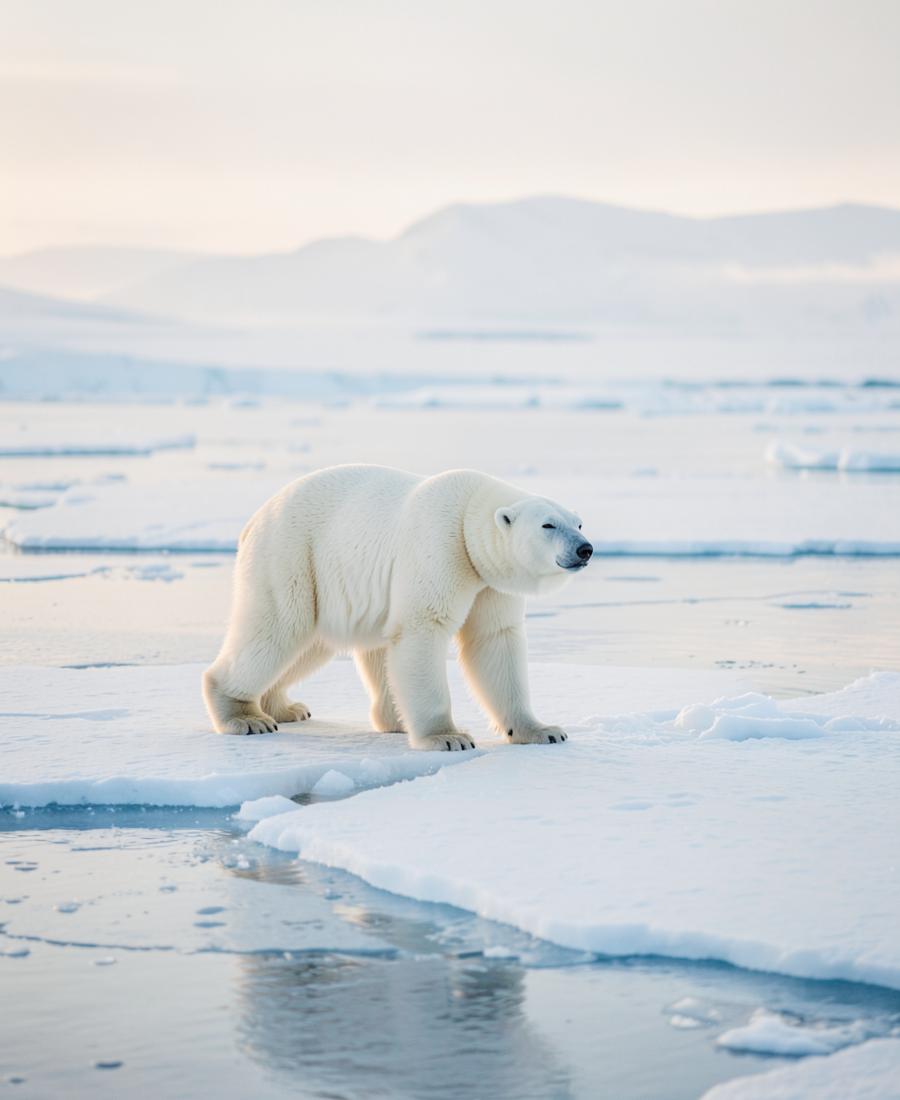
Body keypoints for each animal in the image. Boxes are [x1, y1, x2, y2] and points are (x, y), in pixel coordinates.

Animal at [202, 465, 593, 751]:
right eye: (547, 525)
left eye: (578, 523)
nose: (585, 548)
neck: (467, 518)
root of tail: (253, 521)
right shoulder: (441, 549)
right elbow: (423, 631)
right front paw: (447, 737)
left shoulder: (489, 584)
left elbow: (493, 641)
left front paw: (543, 730)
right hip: (292, 556)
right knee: (277, 629)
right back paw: (246, 717)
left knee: (309, 645)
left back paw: (286, 707)